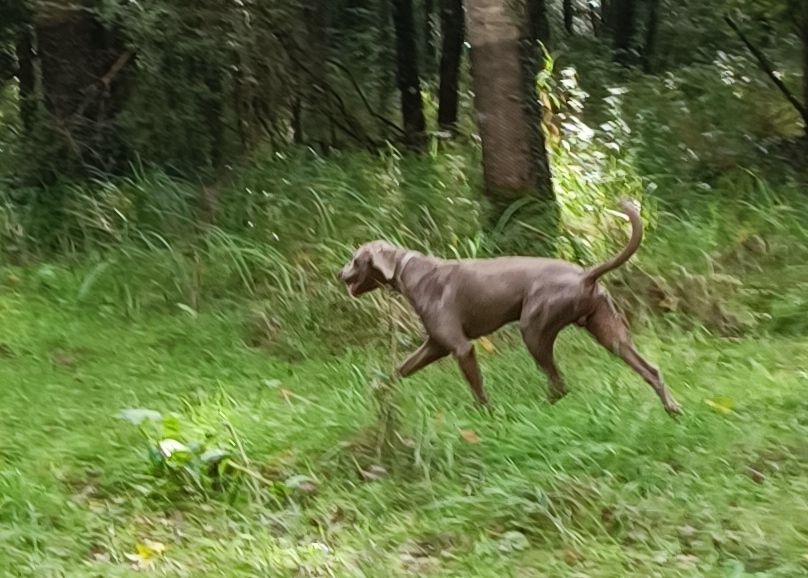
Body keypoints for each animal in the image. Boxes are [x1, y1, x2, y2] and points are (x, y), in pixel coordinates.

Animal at [336, 199, 680, 414]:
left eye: (354, 259)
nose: (339, 274)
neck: (410, 271)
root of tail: (586, 275)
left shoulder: (461, 348)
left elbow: (478, 390)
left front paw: (486, 416)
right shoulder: (435, 344)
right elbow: (399, 370)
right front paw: (379, 392)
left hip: (534, 331)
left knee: (559, 384)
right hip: (609, 333)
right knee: (650, 369)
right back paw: (672, 408)